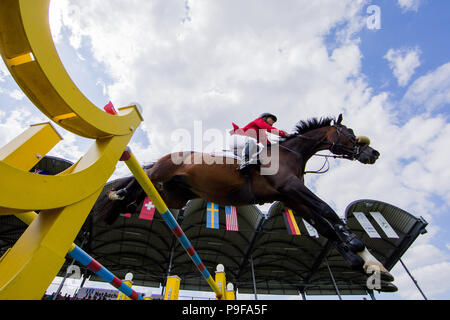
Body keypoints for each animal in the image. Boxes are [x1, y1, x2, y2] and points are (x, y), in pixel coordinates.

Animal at [96, 114, 398, 292]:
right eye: (349, 132)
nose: (373, 153)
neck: (292, 153)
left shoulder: (291, 198)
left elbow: (324, 226)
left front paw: (370, 266)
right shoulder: (292, 189)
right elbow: (327, 211)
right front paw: (358, 249)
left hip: (173, 193)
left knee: (143, 190)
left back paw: (120, 206)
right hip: (162, 172)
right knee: (142, 177)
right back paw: (117, 198)